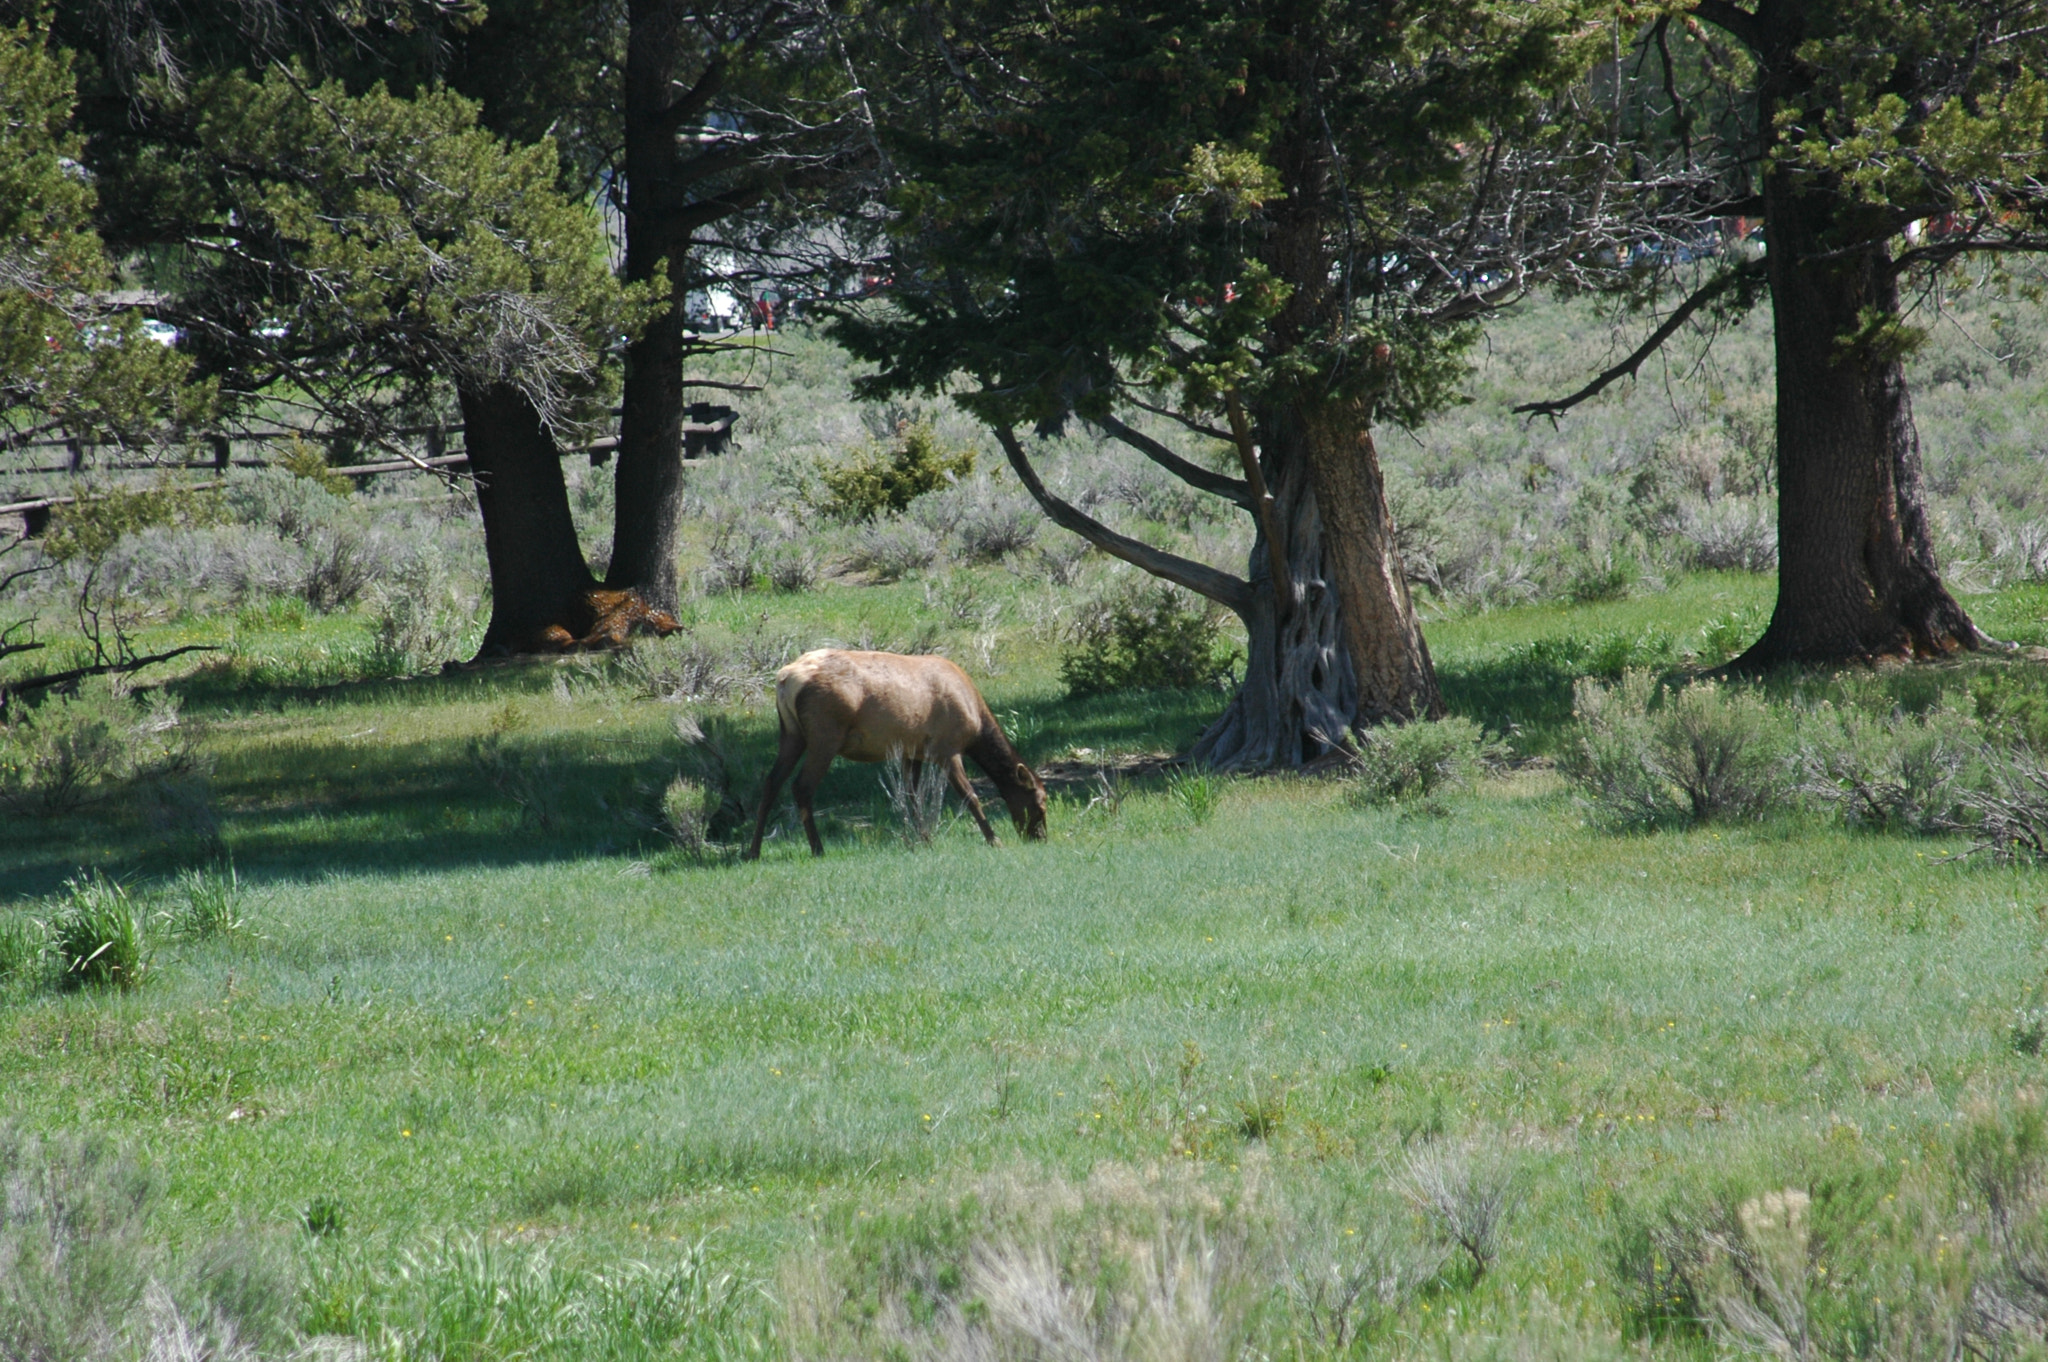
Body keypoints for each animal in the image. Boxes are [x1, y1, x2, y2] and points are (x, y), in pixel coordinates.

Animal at [745, 651, 1048, 860]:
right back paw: (817, 848)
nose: (1039, 836)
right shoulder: (947, 748)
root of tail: (784, 679)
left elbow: (912, 796)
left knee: (771, 783)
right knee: (802, 786)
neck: (977, 725)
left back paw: (753, 851)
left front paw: (924, 839)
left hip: (791, 733)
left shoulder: (912, 753)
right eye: (1040, 801)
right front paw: (994, 840)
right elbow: (970, 796)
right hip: (825, 734)